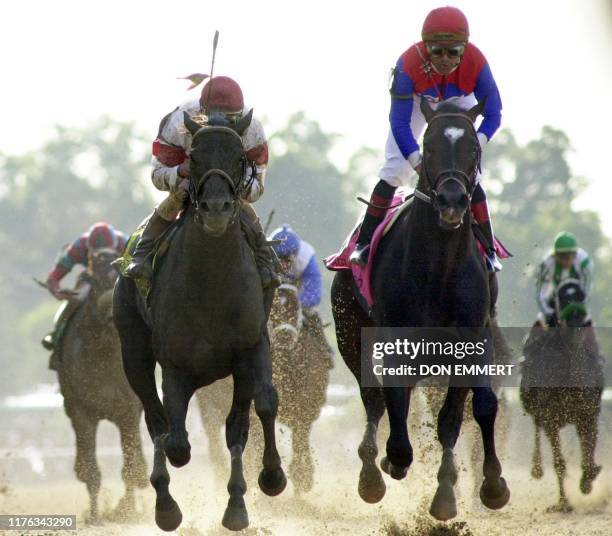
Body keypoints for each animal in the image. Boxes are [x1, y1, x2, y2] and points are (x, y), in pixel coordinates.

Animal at [57, 250, 148, 524]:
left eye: (119, 279)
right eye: (95, 282)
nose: (111, 310)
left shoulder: (128, 411)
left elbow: (131, 466)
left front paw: (125, 511)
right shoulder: (81, 411)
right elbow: (89, 470)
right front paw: (95, 515)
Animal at [113, 114, 286, 532]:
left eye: (240, 156)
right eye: (193, 156)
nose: (217, 209)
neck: (212, 283)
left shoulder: (252, 348)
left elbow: (262, 405)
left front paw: (269, 479)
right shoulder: (175, 365)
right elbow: (174, 437)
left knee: (229, 424)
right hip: (134, 351)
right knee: (157, 420)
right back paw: (165, 505)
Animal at [198, 280, 332, 494]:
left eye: (294, 303)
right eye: (274, 305)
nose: (285, 335)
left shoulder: (306, 408)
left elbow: (300, 442)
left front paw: (302, 479)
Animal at [332, 98, 510, 520]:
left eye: (473, 148)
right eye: (428, 146)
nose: (452, 200)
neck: (440, 265)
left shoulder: (472, 339)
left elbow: (469, 412)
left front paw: (477, 487)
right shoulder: (395, 340)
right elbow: (393, 405)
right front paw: (393, 460)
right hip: (350, 332)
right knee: (373, 399)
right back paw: (372, 474)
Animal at [520, 278, 604, 512]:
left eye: (581, 296)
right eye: (563, 297)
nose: (577, 322)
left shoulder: (587, 413)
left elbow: (589, 450)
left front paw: (588, 480)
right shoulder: (550, 419)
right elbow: (559, 463)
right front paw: (563, 504)